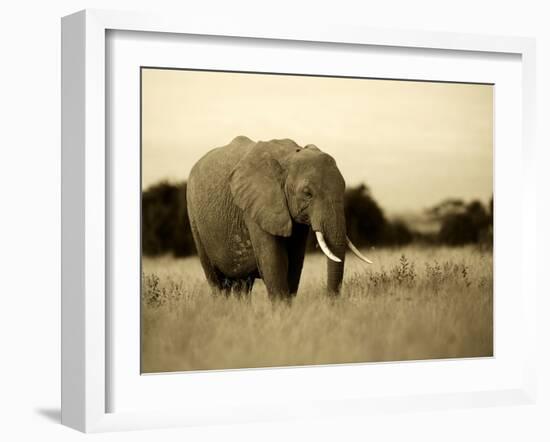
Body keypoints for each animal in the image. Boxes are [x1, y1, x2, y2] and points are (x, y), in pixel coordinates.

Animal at [188, 135, 374, 300]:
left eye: (343, 188)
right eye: (307, 193)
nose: (330, 302)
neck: (290, 156)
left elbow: (295, 262)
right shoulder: (257, 205)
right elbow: (274, 263)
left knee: (243, 284)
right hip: (194, 218)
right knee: (217, 282)